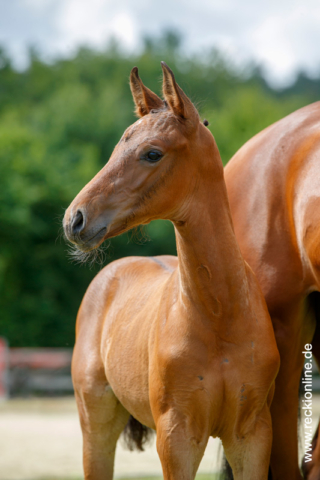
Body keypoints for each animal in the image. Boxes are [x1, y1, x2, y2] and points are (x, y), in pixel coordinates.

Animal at [63, 63, 278, 480]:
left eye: (152, 153)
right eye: (117, 148)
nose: (75, 219)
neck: (220, 314)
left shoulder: (252, 435)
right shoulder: (177, 436)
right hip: (96, 426)